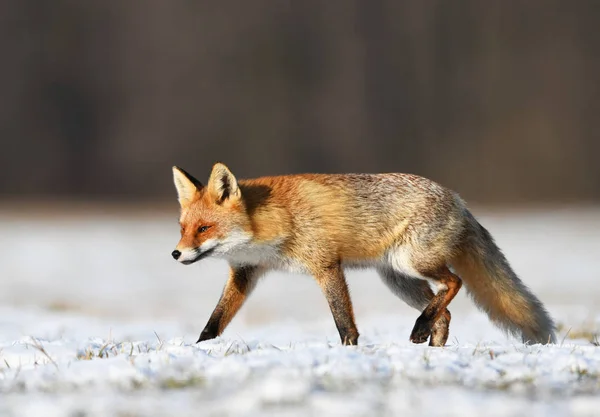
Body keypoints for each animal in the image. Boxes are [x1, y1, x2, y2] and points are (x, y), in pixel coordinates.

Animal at [171, 164, 556, 346]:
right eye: (183, 227)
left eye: (204, 228)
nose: (175, 253)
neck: (275, 220)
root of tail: (458, 199)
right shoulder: (245, 272)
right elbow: (213, 323)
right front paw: (198, 350)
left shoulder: (326, 265)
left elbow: (344, 322)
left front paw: (349, 350)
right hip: (398, 280)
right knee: (444, 314)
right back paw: (431, 347)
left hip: (411, 263)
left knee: (455, 282)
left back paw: (420, 328)